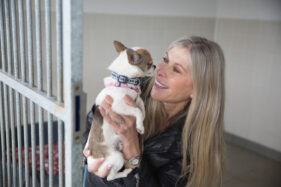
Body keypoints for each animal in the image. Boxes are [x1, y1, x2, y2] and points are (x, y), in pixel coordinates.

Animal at [85, 40, 153, 180]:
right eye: (149, 63)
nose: (155, 66)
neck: (125, 80)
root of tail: (92, 159)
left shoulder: (136, 99)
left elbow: (141, 107)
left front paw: (141, 122)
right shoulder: (119, 106)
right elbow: (137, 111)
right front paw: (140, 126)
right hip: (117, 158)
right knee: (110, 177)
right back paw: (125, 173)